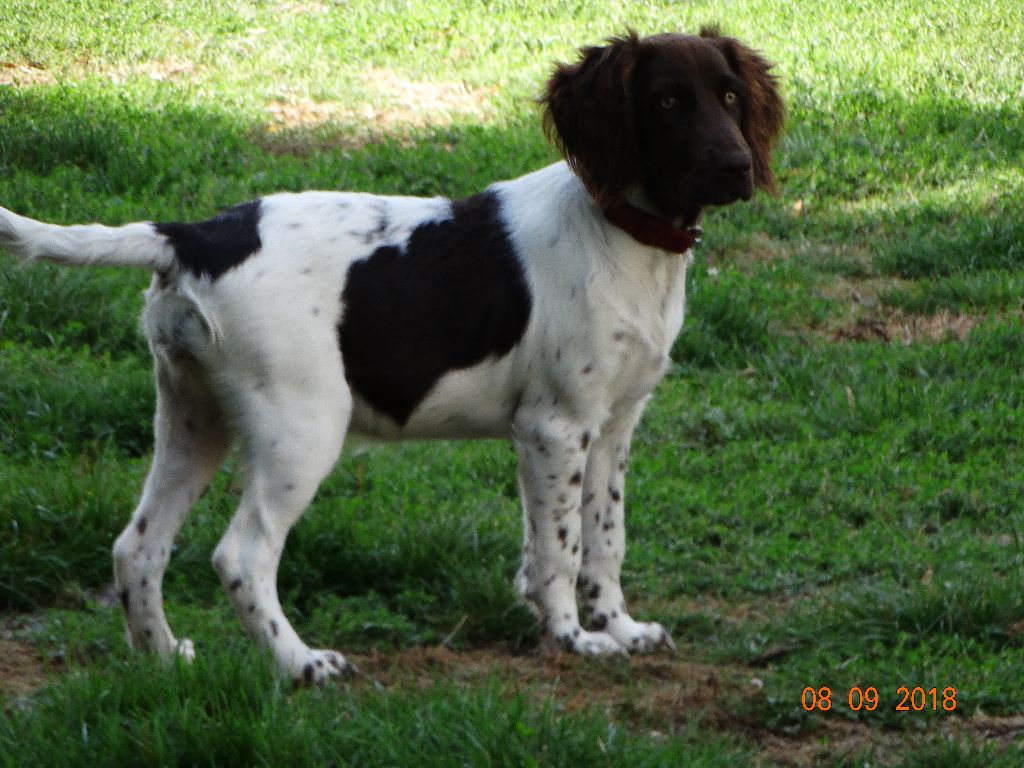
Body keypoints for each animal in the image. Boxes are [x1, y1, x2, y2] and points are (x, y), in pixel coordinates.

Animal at [0, 27, 782, 684]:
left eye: (729, 95)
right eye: (668, 102)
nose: (736, 166)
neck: (621, 233)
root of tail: (196, 236)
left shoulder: (612, 427)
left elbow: (603, 537)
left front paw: (618, 627)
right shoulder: (555, 428)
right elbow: (559, 548)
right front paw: (570, 638)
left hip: (193, 417)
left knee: (137, 546)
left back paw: (163, 659)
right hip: (302, 426)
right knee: (242, 555)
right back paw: (301, 665)